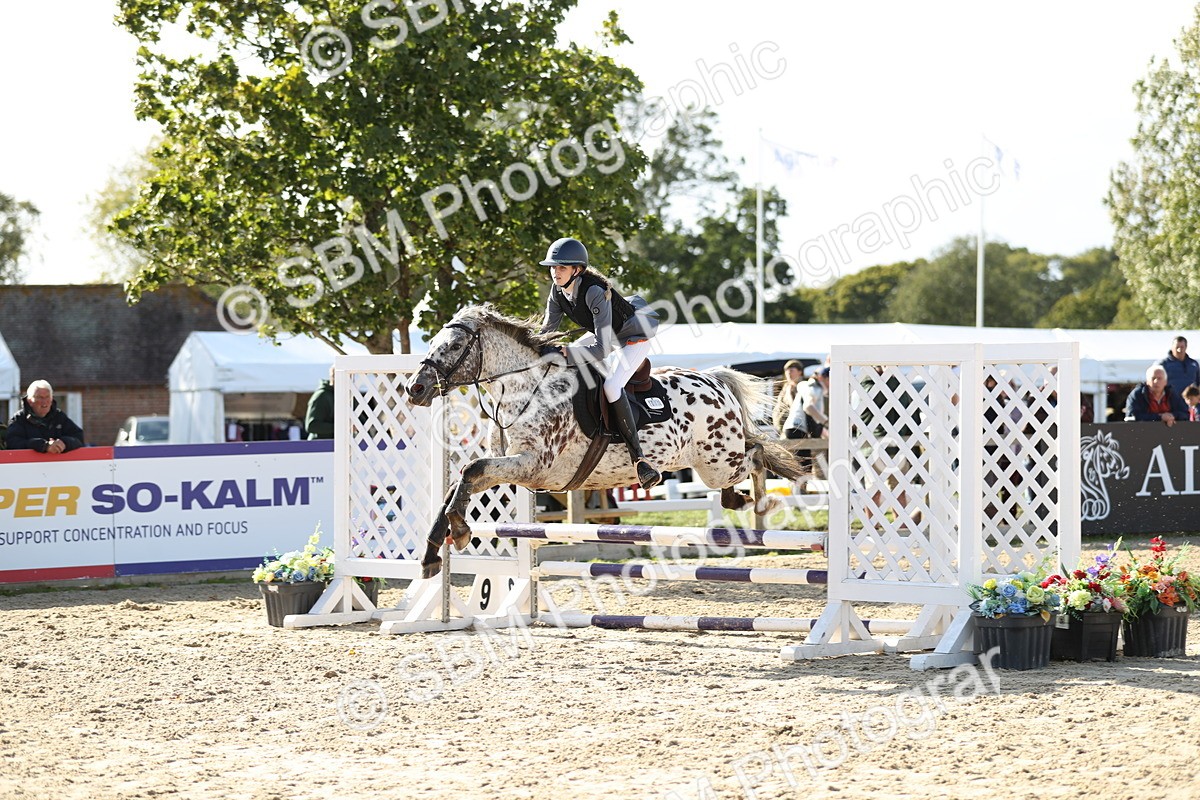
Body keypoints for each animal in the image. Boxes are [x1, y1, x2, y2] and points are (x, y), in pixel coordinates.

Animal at [405, 304, 805, 578]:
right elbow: (460, 483)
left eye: (455, 344)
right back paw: (742, 503)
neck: (526, 389)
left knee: (755, 455)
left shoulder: (533, 467)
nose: (414, 389)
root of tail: (714, 380)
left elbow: (471, 470)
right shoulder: (508, 467)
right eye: (433, 341)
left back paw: (757, 507)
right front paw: (434, 550)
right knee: (750, 458)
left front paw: (457, 531)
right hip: (708, 461)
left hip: (717, 463)